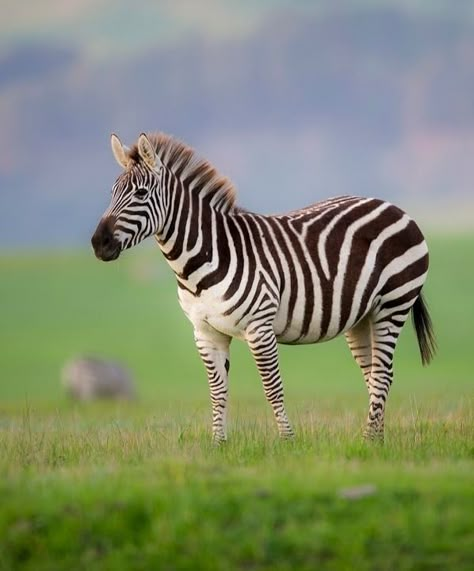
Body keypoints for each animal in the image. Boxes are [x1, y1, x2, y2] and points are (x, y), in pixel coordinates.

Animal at [90, 133, 436, 442]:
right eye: (112, 192)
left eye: (141, 193)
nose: (98, 243)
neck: (203, 259)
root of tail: (392, 206)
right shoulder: (205, 333)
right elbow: (217, 391)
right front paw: (218, 445)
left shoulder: (259, 327)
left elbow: (272, 388)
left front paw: (287, 441)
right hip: (361, 317)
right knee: (374, 374)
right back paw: (375, 440)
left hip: (392, 305)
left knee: (383, 374)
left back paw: (369, 440)